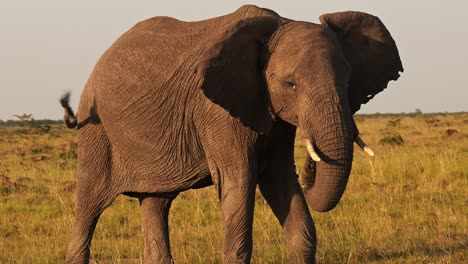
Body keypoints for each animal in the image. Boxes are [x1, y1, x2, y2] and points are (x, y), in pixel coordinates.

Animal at [59, 4, 402, 264]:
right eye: (291, 85)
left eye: (348, 80)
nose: (311, 165)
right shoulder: (217, 112)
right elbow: (240, 180)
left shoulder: (271, 114)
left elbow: (280, 181)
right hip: (97, 133)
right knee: (89, 204)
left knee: (155, 202)